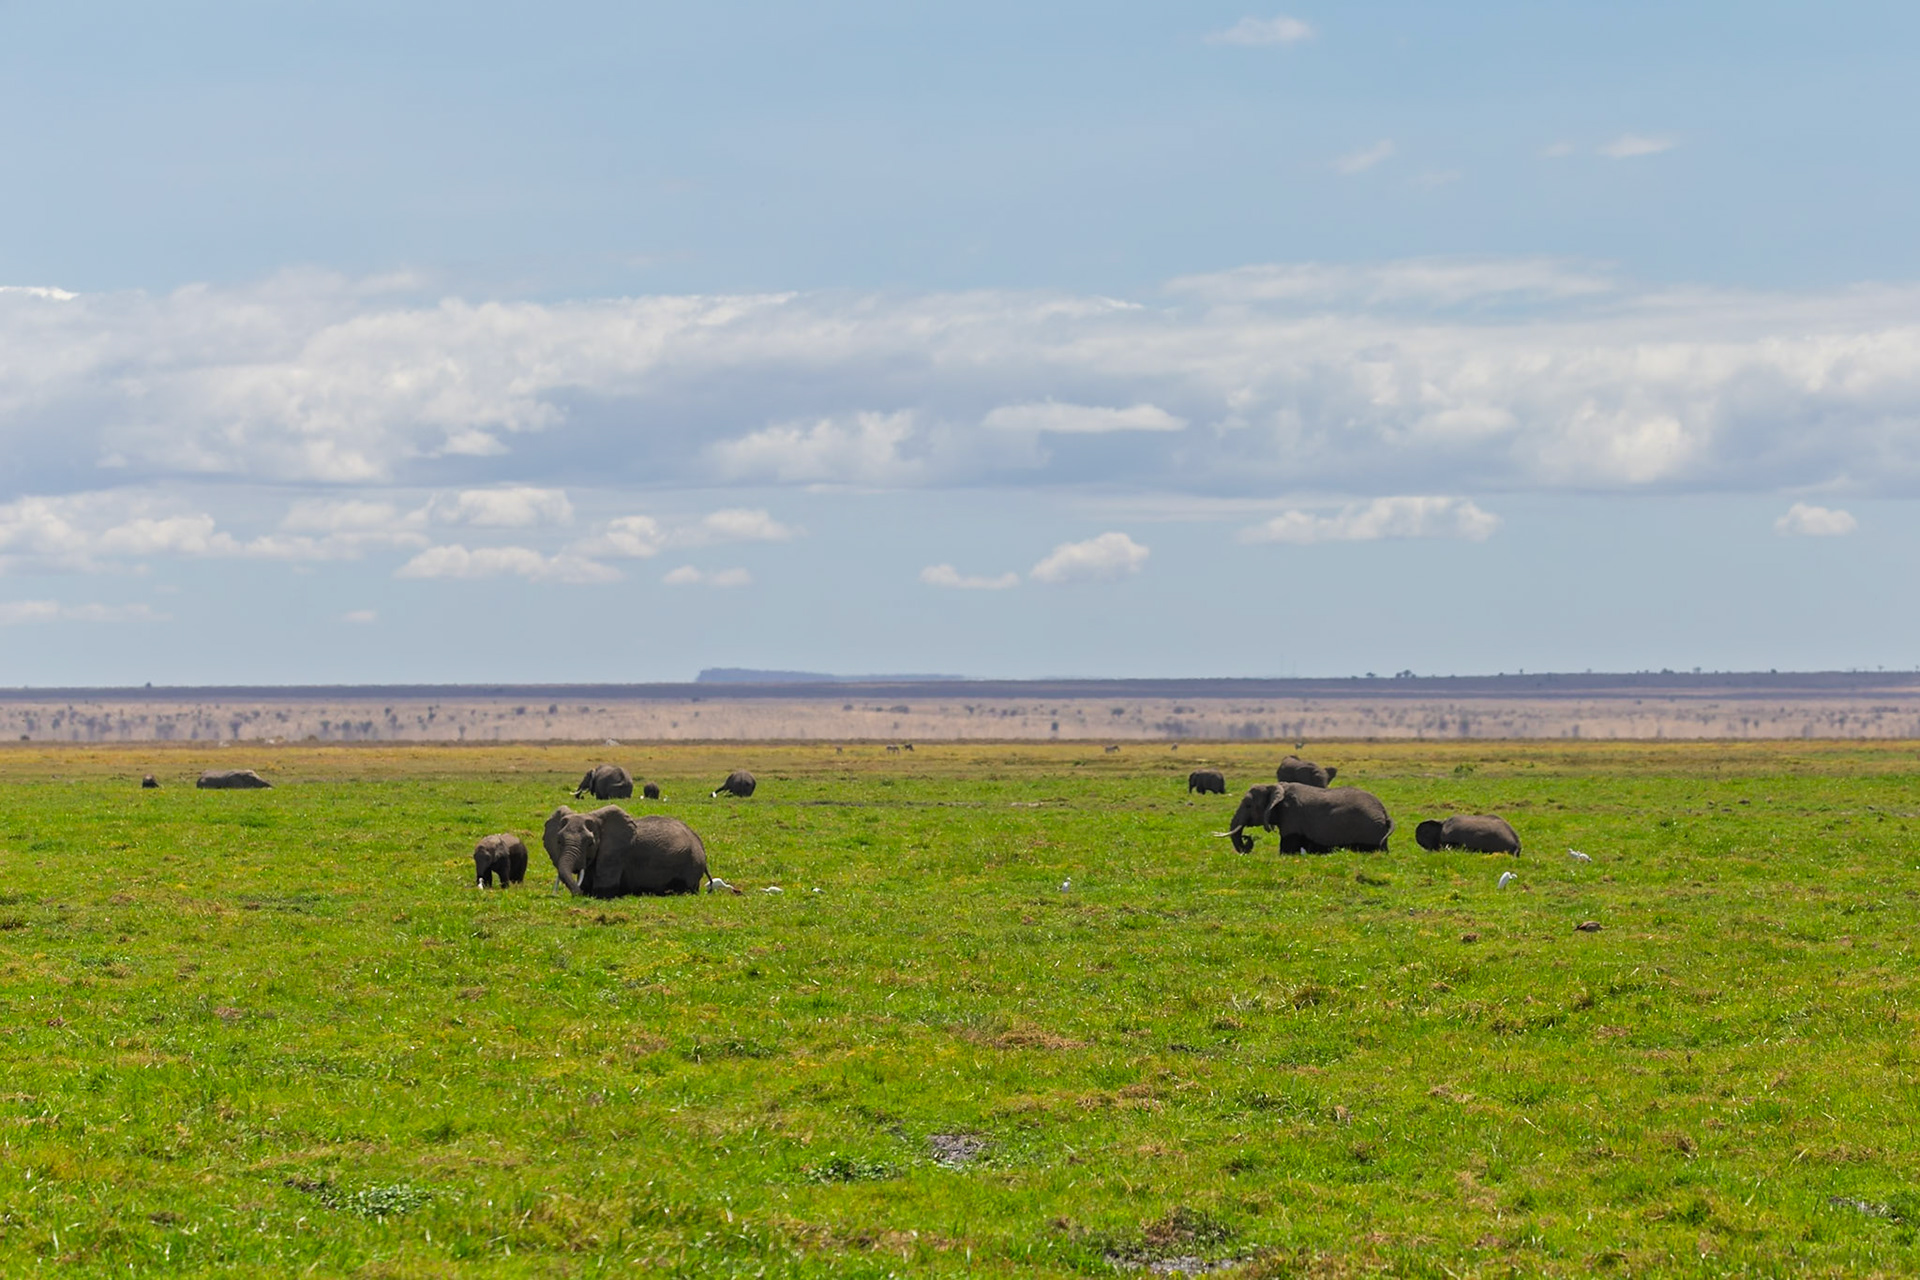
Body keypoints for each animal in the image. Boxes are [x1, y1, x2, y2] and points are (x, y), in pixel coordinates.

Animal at [543, 805, 717, 897]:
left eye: (590, 843)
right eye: (559, 841)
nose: (577, 894)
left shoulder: (615, 853)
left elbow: (604, 888)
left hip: (691, 862)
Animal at [1217, 782, 1393, 854]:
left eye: (1248, 805)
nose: (1247, 838)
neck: (1275, 786)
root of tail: (1385, 813)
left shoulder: (1291, 814)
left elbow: (1288, 848)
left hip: (1369, 830)